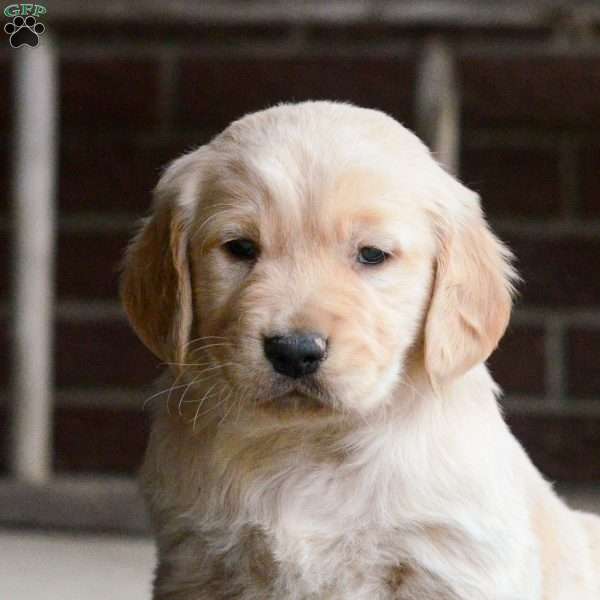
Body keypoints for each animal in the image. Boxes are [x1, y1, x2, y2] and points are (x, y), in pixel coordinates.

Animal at [122, 101, 600, 596]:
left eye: (372, 255)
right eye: (240, 248)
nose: (294, 351)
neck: (305, 445)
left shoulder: (453, 562)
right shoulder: (195, 561)